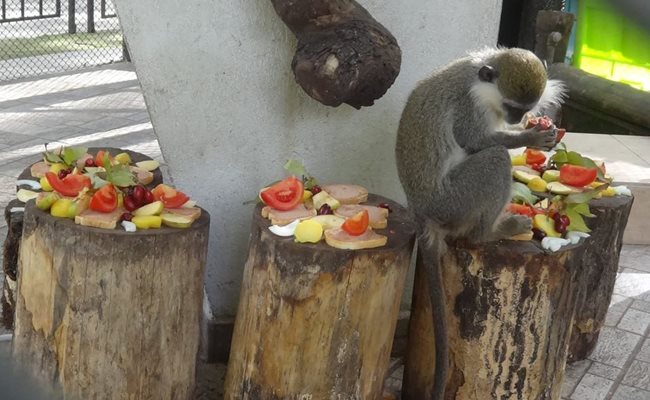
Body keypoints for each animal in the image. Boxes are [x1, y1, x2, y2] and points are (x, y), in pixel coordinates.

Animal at [392, 47, 564, 400]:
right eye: (512, 107)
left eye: (523, 109)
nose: (516, 120)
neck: (482, 82)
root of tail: (421, 213)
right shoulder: (467, 107)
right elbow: (474, 141)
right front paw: (531, 136)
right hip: (455, 201)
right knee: (495, 158)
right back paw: (491, 231)